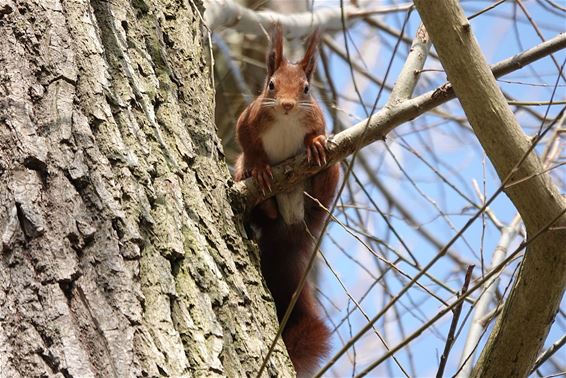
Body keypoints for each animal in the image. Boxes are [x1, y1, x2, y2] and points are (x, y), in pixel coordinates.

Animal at [234, 25, 340, 376]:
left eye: (306, 88)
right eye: (271, 85)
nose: (287, 105)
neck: (285, 122)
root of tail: (292, 226)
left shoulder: (317, 118)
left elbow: (317, 131)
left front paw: (315, 142)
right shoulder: (248, 120)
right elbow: (248, 144)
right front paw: (260, 168)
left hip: (328, 184)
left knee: (324, 190)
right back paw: (261, 197)